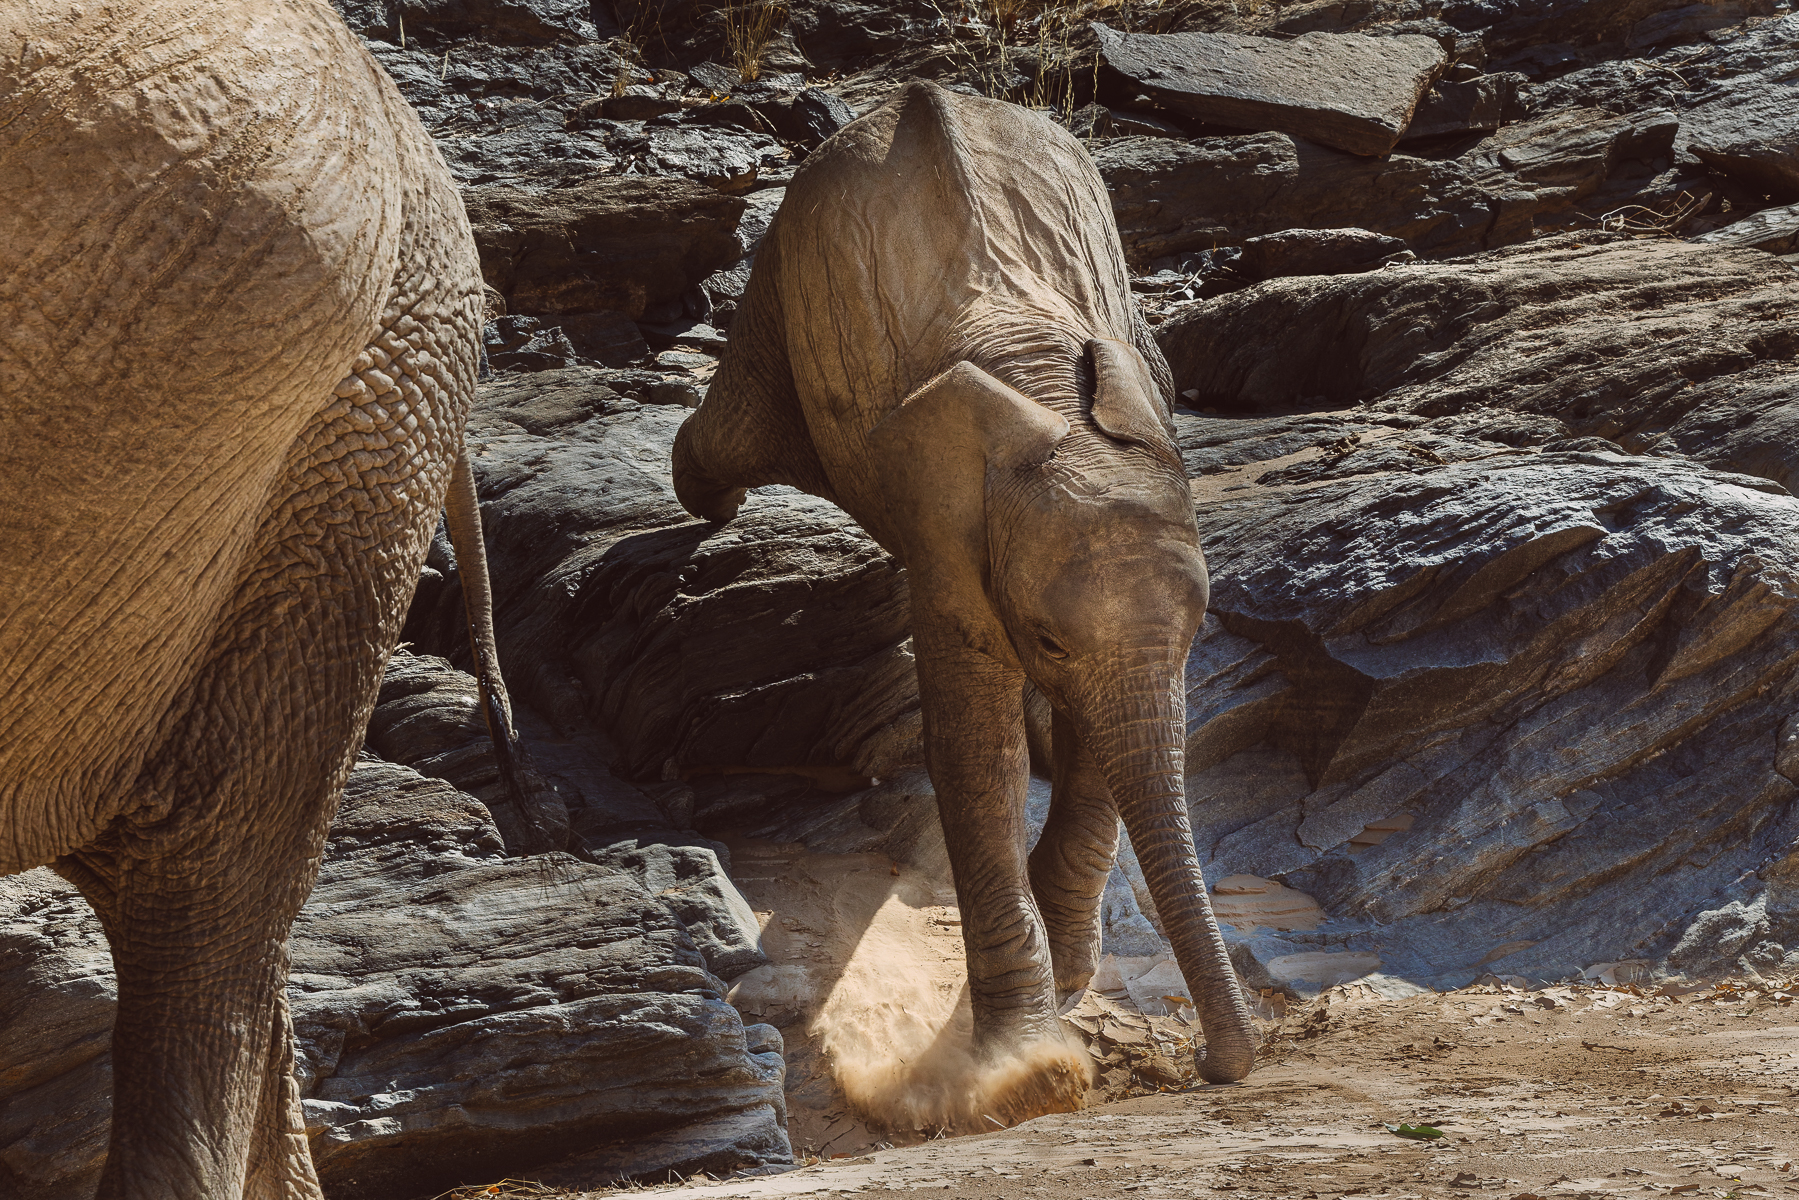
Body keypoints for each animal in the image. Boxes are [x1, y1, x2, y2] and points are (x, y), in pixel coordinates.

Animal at [672, 79, 1258, 1101]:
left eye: (1200, 633)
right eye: (1048, 638)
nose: (1218, 1067)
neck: (1053, 404)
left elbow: (1099, 740)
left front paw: (1061, 991)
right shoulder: (943, 521)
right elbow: (973, 745)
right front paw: (1027, 1071)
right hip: (783, 269)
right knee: (737, 426)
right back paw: (701, 497)